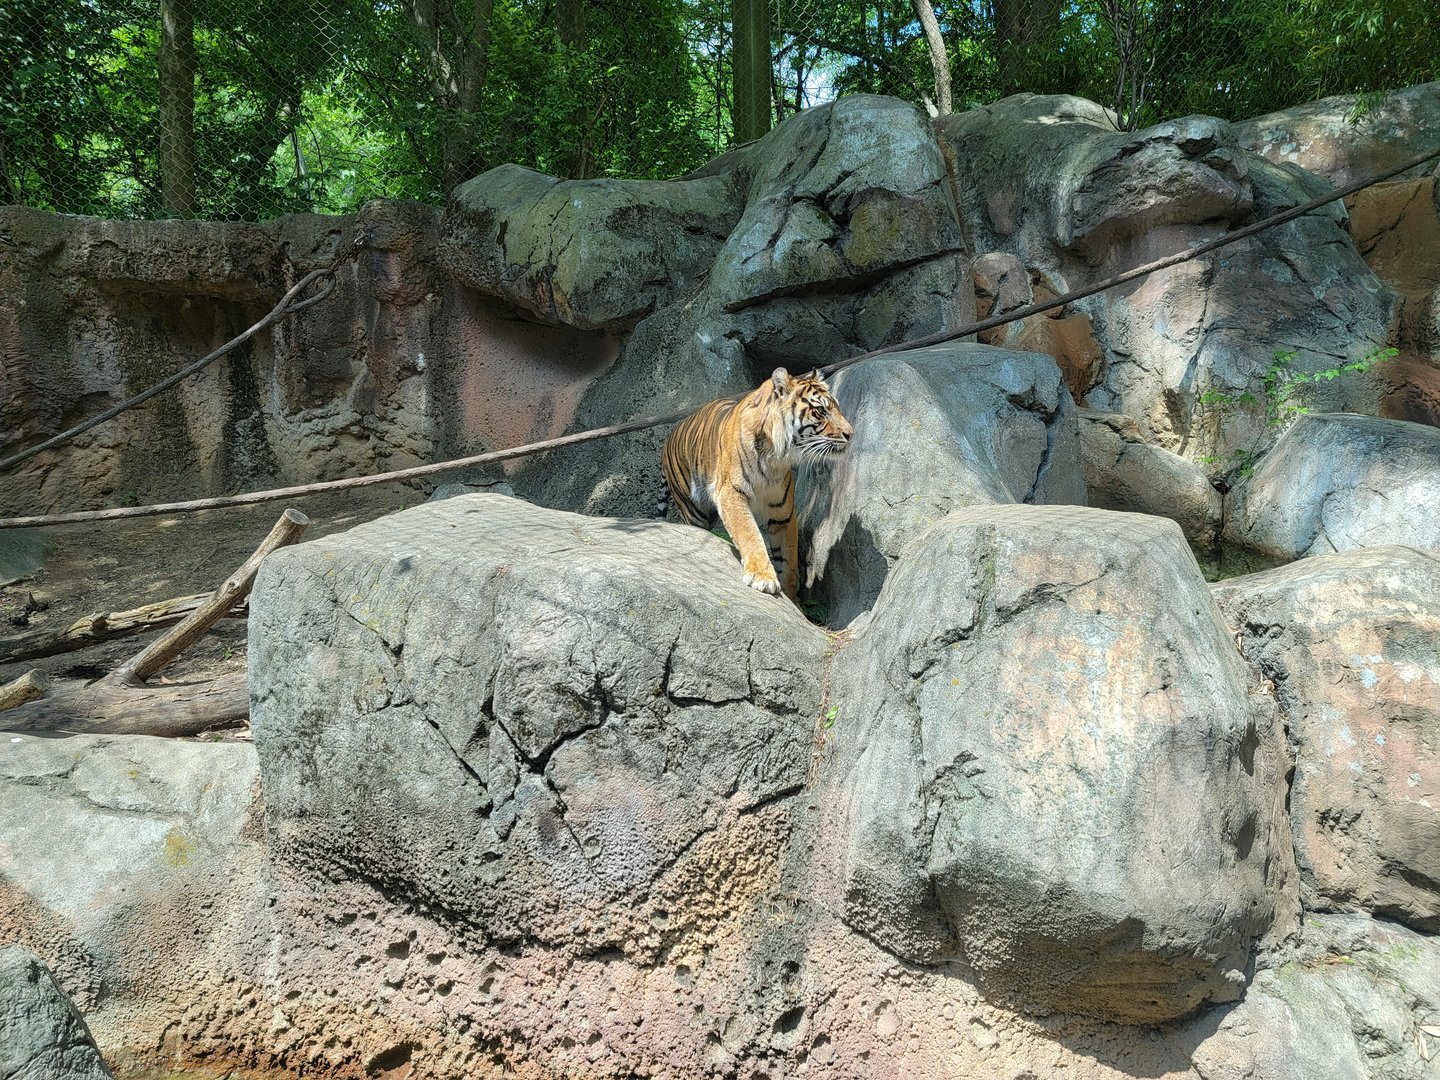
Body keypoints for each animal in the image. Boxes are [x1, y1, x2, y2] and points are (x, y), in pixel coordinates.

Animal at [660, 367, 853, 599]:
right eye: (821, 411)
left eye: (836, 408)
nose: (851, 434)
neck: (775, 457)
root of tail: (670, 436)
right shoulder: (732, 494)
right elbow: (750, 534)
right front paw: (763, 577)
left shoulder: (783, 513)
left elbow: (788, 560)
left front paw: (791, 599)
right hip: (693, 509)